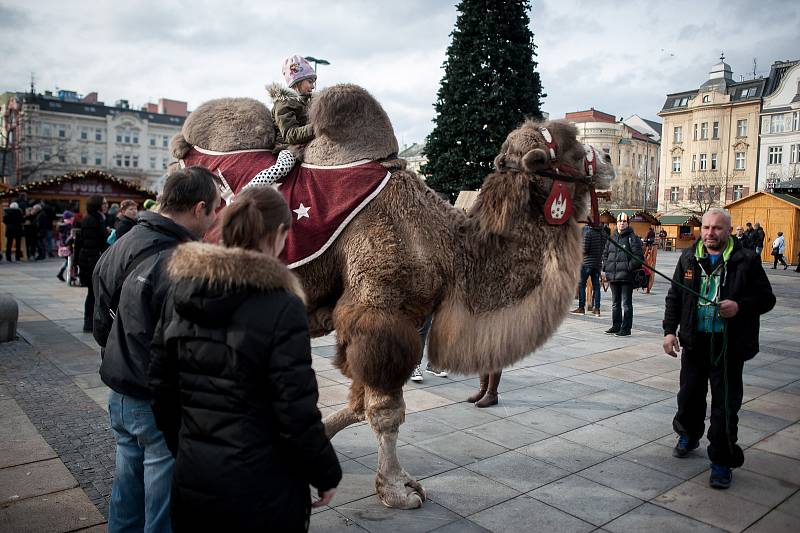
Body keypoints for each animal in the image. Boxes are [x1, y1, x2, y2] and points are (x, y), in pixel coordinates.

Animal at [172, 85, 616, 510]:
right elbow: (385, 412)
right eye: (574, 148)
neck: (449, 246)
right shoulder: (380, 311)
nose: (610, 157)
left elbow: (358, 403)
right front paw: (397, 489)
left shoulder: (378, 319)